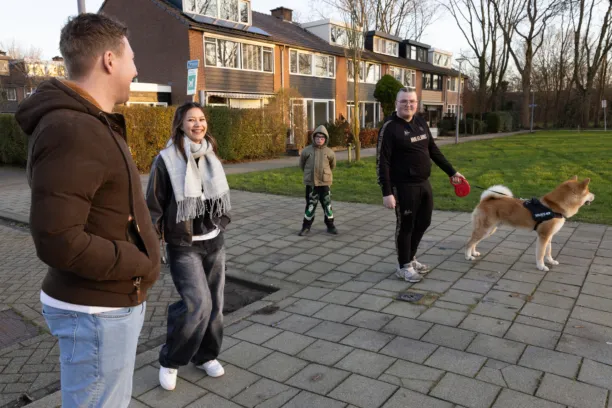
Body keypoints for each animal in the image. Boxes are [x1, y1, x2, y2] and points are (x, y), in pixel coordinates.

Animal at [466, 176, 596, 270]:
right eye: (588, 191)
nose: (594, 195)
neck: (554, 207)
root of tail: (485, 200)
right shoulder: (543, 236)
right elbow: (541, 253)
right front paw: (541, 266)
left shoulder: (549, 236)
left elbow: (548, 251)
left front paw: (551, 261)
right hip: (485, 229)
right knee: (470, 242)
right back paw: (468, 256)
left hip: (489, 230)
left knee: (474, 242)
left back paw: (474, 253)